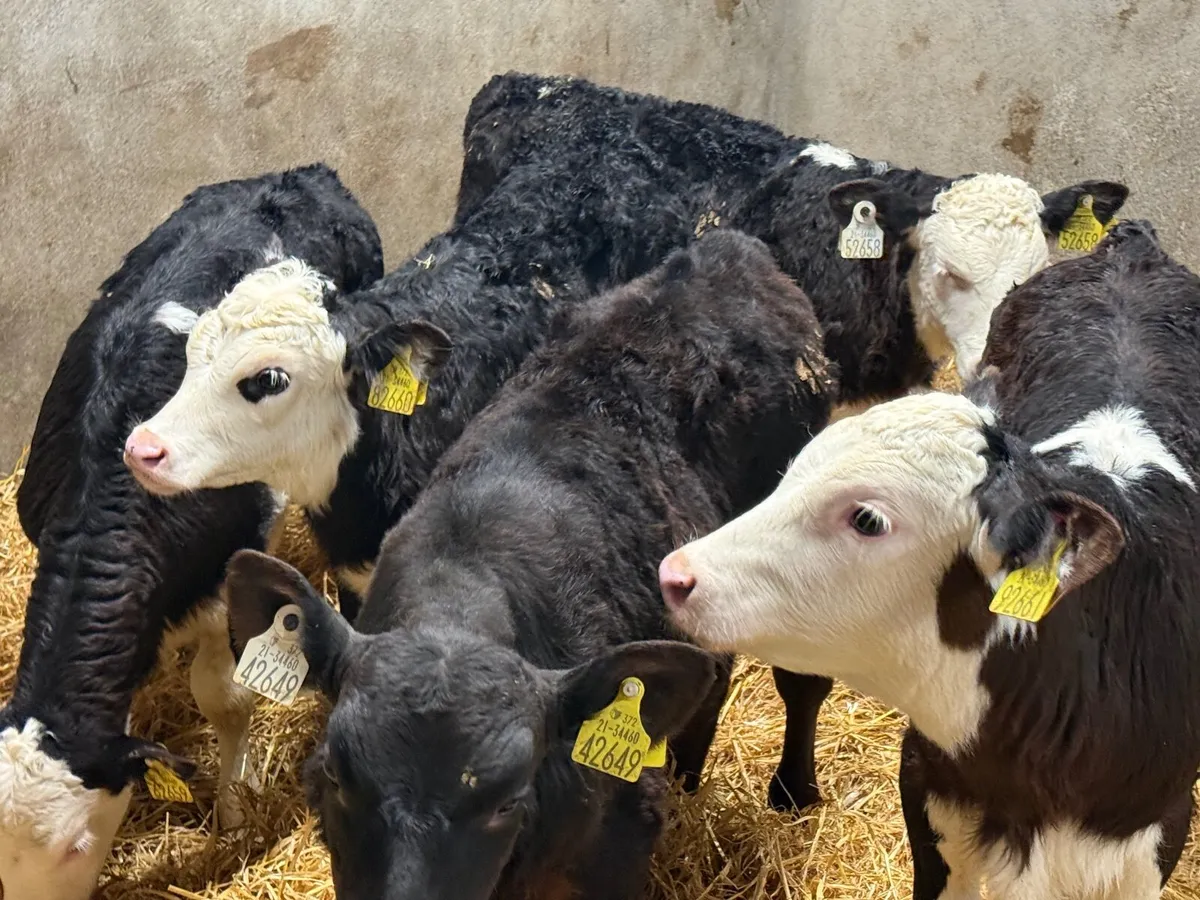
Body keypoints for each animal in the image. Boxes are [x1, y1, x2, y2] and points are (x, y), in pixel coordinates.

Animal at [221, 228, 837, 900]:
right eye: (336, 775)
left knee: (802, 680)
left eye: (507, 801)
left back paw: (793, 790)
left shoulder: (620, 836)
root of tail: (730, 250)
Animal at [660, 220, 1200, 899]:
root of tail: (1132, 244)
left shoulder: (1158, 831)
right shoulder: (925, 789)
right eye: (793, 473)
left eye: (868, 519)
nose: (676, 573)